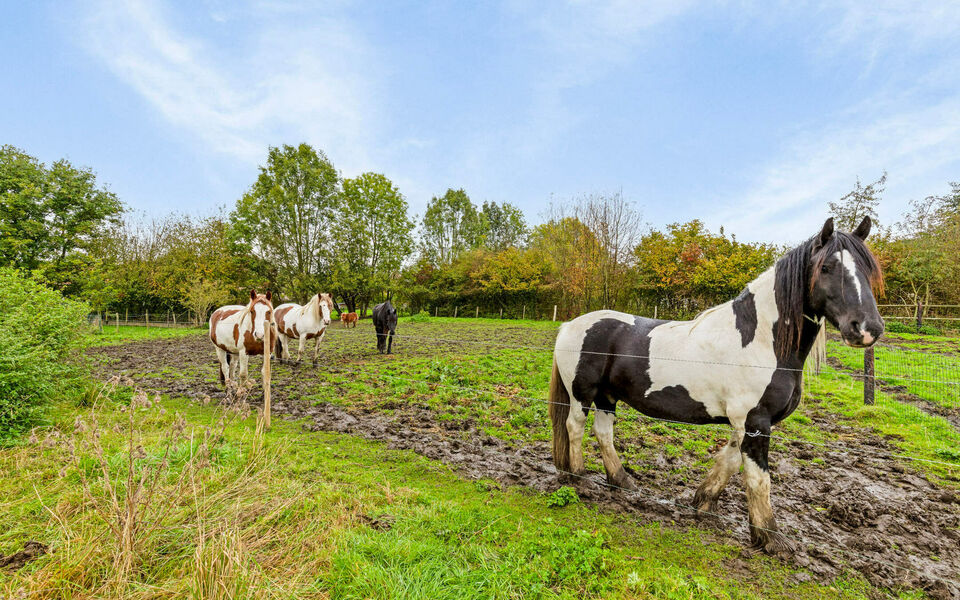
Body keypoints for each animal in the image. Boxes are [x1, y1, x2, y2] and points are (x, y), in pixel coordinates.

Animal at [548, 218, 884, 556]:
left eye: (868, 268)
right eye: (826, 267)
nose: (868, 329)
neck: (761, 340)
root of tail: (570, 325)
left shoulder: (744, 423)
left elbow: (730, 462)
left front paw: (704, 502)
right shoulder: (755, 421)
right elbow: (758, 478)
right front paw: (770, 537)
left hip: (607, 396)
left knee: (604, 433)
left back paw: (621, 481)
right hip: (582, 395)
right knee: (574, 427)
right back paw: (578, 477)